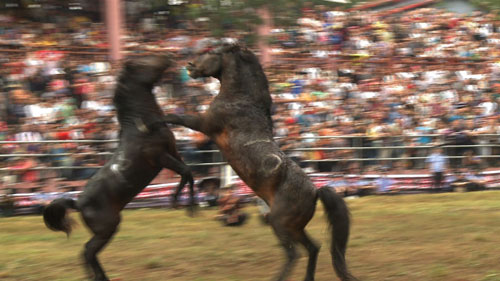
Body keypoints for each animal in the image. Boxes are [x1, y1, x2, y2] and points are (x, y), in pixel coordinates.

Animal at [43, 54, 195, 280]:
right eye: (143, 63)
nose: (167, 57)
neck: (141, 128)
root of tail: (78, 203)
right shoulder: (161, 157)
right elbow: (186, 172)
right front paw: (181, 204)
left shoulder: (173, 152)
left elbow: (189, 173)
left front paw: (184, 204)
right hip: (108, 227)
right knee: (88, 250)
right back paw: (99, 277)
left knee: (87, 251)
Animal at [164, 44, 356, 280]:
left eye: (213, 51)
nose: (190, 66)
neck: (241, 99)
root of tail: (315, 191)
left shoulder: (205, 124)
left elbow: (174, 117)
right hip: (295, 227)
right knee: (313, 247)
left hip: (280, 223)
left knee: (294, 253)